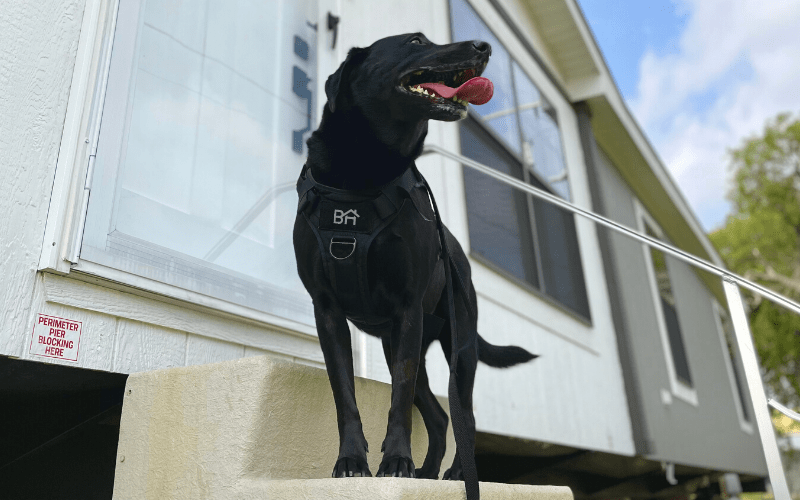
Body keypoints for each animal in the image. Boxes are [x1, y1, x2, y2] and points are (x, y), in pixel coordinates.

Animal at [294, 32, 536, 484]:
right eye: (415, 41)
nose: (484, 46)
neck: (362, 174)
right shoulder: (328, 312)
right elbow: (344, 394)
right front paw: (351, 462)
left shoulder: (407, 309)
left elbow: (400, 400)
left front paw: (396, 463)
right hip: (401, 343)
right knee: (441, 417)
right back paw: (427, 471)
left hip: (458, 346)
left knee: (466, 415)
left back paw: (457, 472)